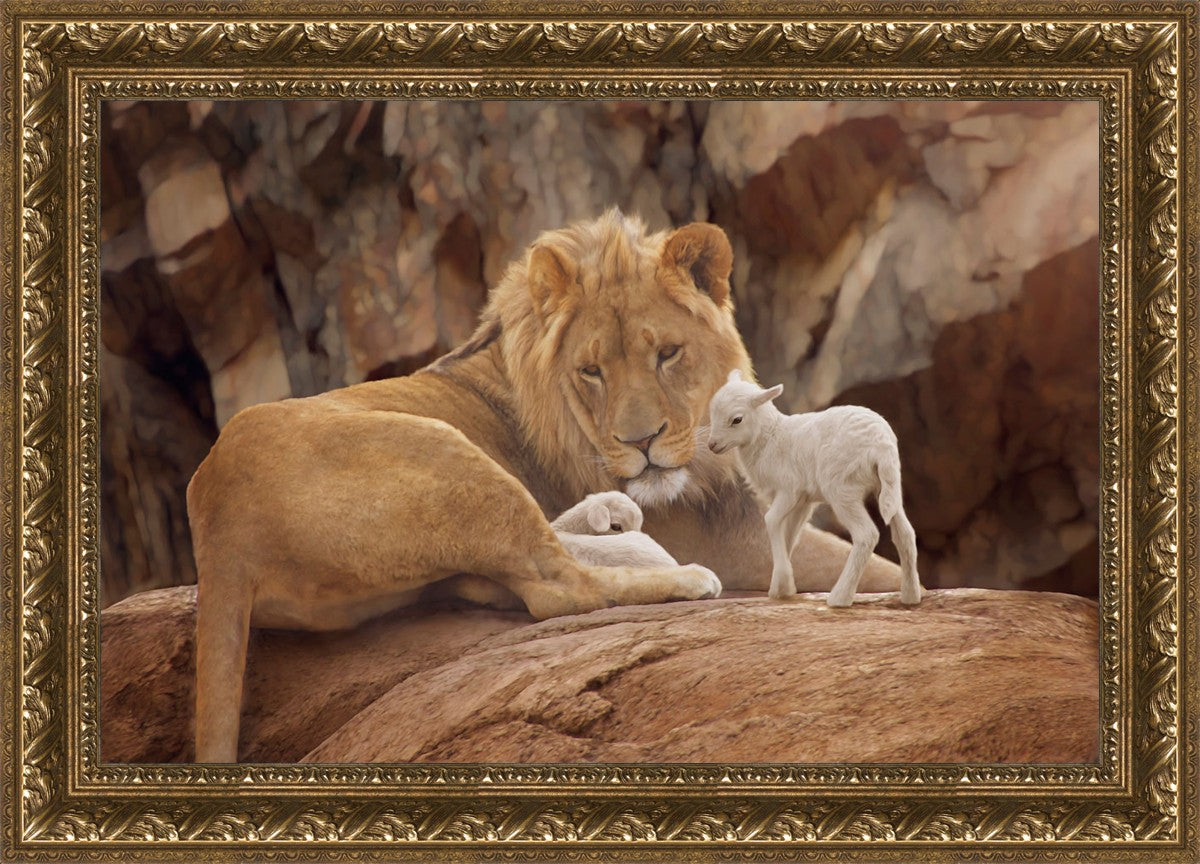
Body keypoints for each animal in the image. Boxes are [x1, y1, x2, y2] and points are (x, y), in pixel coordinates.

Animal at [706, 370, 921, 608]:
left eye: (737, 419)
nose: (712, 445)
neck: (770, 437)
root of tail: (881, 445)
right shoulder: (803, 501)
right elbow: (789, 534)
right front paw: (782, 587)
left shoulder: (789, 490)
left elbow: (771, 521)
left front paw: (782, 583)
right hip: (888, 486)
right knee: (905, 534)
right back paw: (911, 596)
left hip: (842, 489)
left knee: (866, 535)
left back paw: (839, 597)